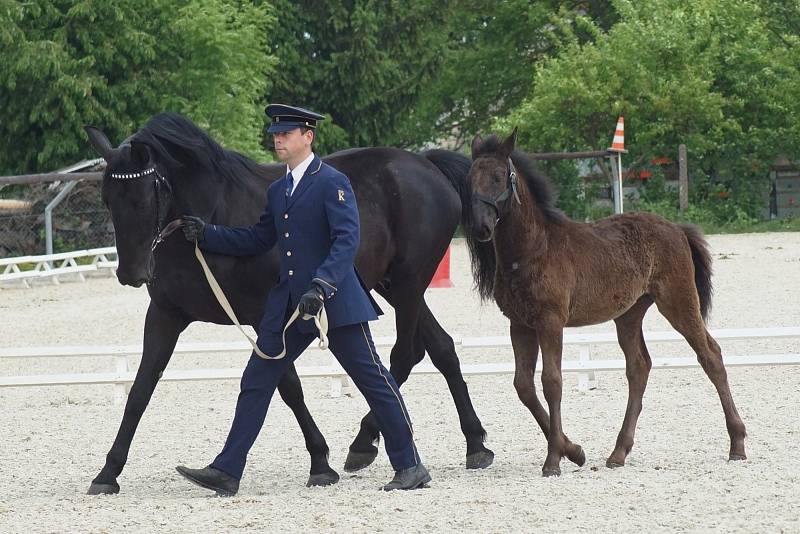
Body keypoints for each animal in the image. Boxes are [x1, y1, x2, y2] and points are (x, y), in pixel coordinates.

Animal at [466, 132, 748, 480]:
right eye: (470, 178)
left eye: (498, 176)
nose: (480, 227)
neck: (533, 248)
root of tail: (677, 229)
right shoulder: (519, 324)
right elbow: (524, 385)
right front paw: (574, 451)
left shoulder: (550, 321)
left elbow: (552, 382)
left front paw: (554, 460)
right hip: (629, 315)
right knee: (639, 367)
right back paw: (618, 453)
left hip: (678, 302)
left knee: (710, 355)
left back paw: (737, 444)